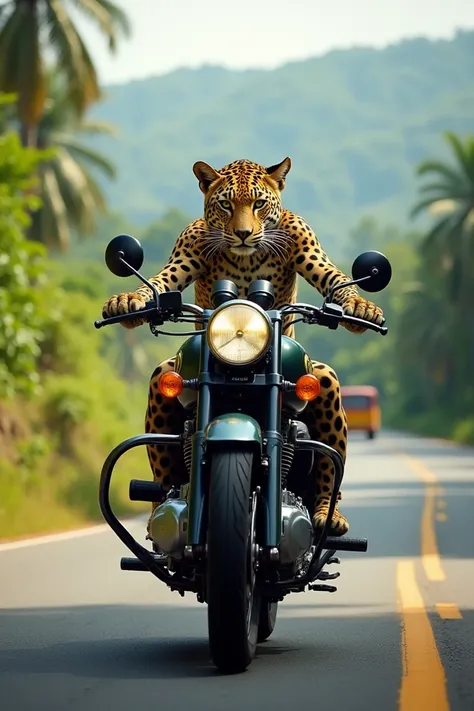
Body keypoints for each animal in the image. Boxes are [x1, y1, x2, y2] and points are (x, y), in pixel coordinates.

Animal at [102, 156, 384, 536]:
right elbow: (159, 284)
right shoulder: (187, 249)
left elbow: (336, 280)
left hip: (323, 382)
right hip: (165, 379)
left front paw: (361, 307)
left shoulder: (307, 244)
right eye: (226, 205)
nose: (243, 234)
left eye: (259, 204)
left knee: (328, 477)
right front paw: (126, 301)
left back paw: (331, 515)